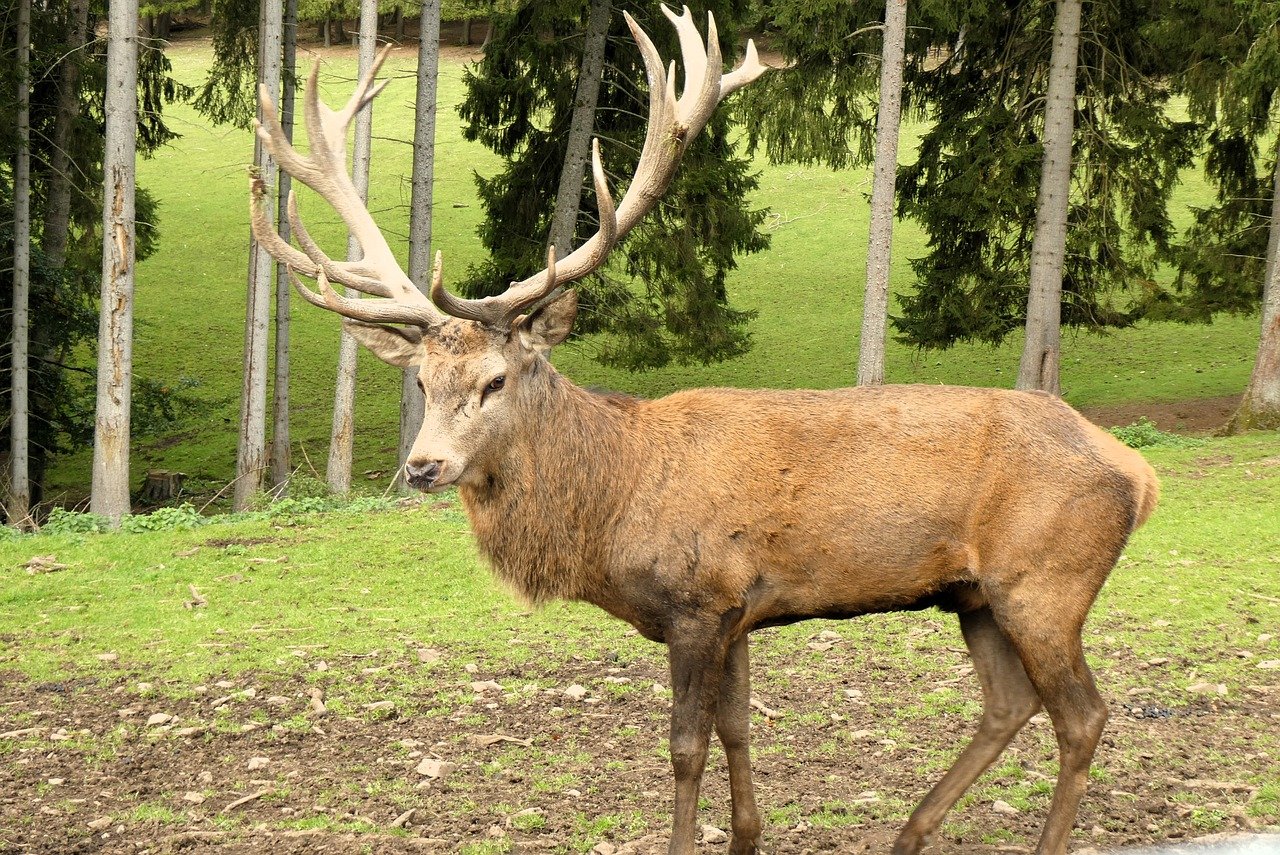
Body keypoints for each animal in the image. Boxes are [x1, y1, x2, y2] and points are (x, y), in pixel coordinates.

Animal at [248, 7, 1160, 854]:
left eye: (495, 379)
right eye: (422, 380)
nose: (423, 465)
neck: (610, 503)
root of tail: (1140, 474)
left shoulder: (697, 599)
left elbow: (685, 746)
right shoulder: (737, 610)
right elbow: (738, 726)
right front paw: (749, 833)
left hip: (1044, 580)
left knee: (1083, 713)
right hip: (975, 594)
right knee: (1009, 702)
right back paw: (910, 829)